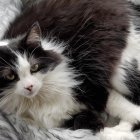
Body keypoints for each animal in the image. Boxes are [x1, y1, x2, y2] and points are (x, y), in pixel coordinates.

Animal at [0, 0, 139, 139]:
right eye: (10, 76)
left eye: (34, 67)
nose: (29, 87)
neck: (39, 99)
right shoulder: (66, 120)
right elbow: (92, 128)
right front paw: (118, 134)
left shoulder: (89, 84)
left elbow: (122, 106)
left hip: (121, 72)